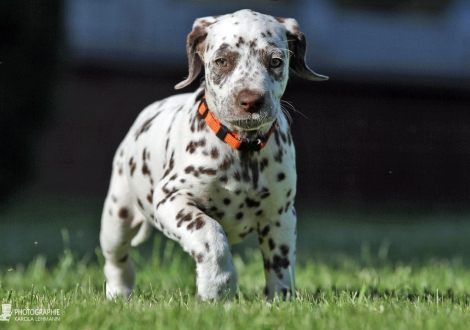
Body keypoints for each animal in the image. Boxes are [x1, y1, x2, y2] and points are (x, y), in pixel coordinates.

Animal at [99, 9, 326, 300]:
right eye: (222, 61)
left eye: (275, 61)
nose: (251, 101)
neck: (243, 150)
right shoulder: (171, 199)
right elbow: (210, 233)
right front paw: (218, 286)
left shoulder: (281, 215)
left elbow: (280, 262)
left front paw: (280, 298)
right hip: (118, 216)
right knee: (116, 260)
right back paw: (119, 294)